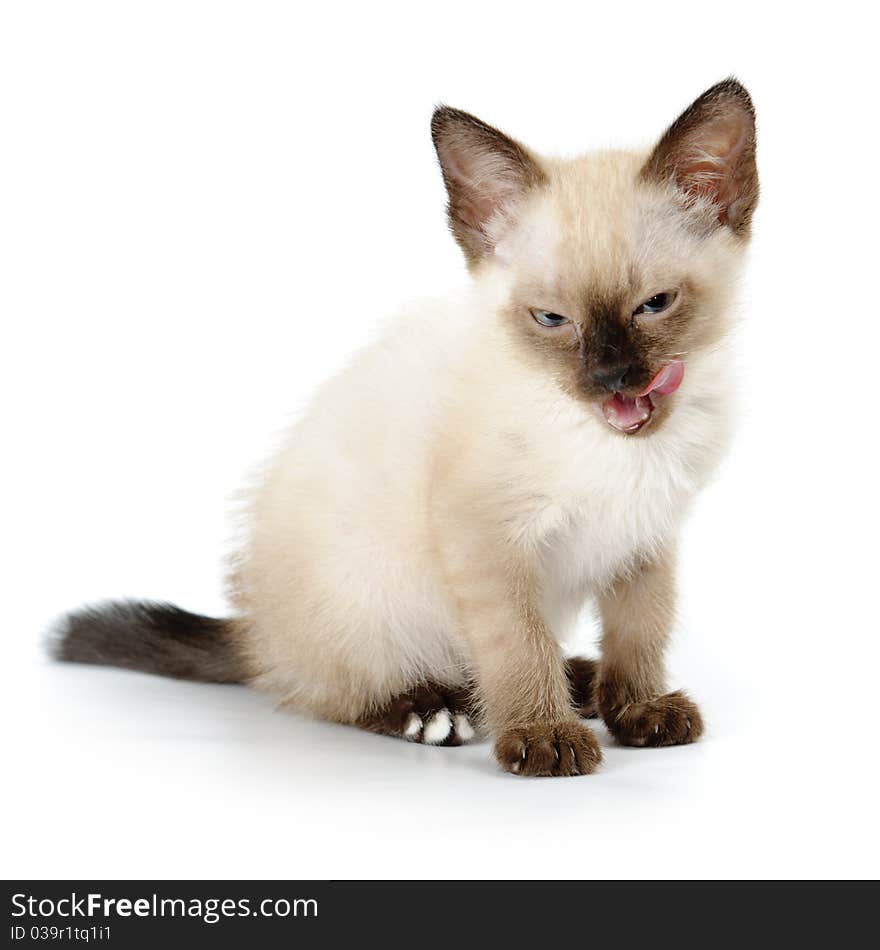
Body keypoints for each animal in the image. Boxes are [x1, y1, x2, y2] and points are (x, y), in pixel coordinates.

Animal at [55, 80, 756, 780]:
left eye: (655, 306)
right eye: (552, 319)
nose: (612, 379)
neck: (611, 446)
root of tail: (253, 634)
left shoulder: (645, 537)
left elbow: (640, 632)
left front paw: (639, 710)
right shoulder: (488, 542)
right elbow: (518, 646)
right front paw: (543, 735)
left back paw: (580, 681)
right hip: (370, 596)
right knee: (332, 692)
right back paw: (434, 712)